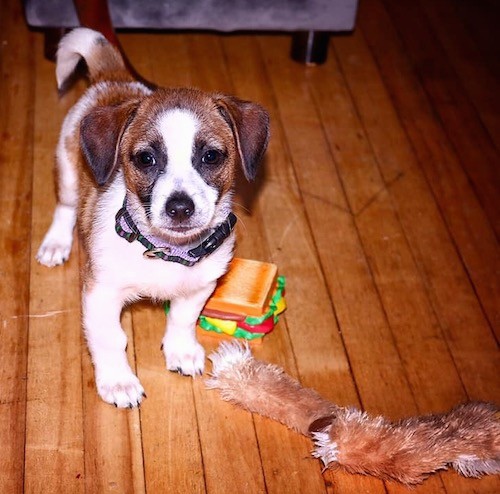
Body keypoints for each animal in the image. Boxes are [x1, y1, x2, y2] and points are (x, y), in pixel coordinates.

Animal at [36, 29, 270, 412]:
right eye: (146, 159)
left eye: (211, 156)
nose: (180, 207)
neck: (165, 251)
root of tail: (113, 78)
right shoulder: (100, 293)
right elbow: (110, 339)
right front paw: (118, 382)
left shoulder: (201, 284)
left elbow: (183, 318)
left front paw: (181, 351)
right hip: (68, 173)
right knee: (65, 208)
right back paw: (56, 244)